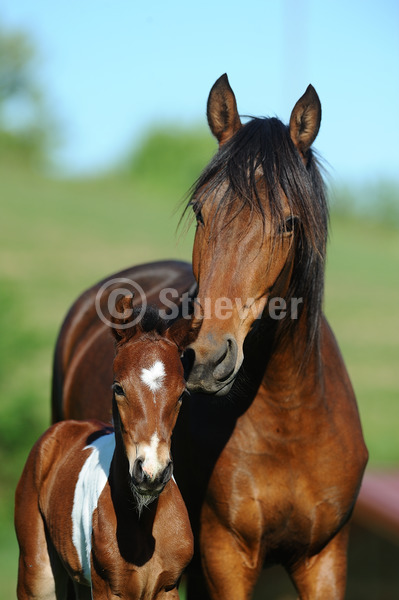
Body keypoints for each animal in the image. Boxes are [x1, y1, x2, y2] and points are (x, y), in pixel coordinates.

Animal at [16, 302, 195, 600]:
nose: (152, 472)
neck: (142, 521)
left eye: (182, 394)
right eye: (119, 388)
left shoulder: (168, 587)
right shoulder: (107, 589)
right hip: (37, 575)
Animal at [52, 76, 368, 600]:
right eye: (201, 212)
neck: (290, 424)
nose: (204, 357)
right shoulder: (225, 559)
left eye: (289, 222)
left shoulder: (325, 558)